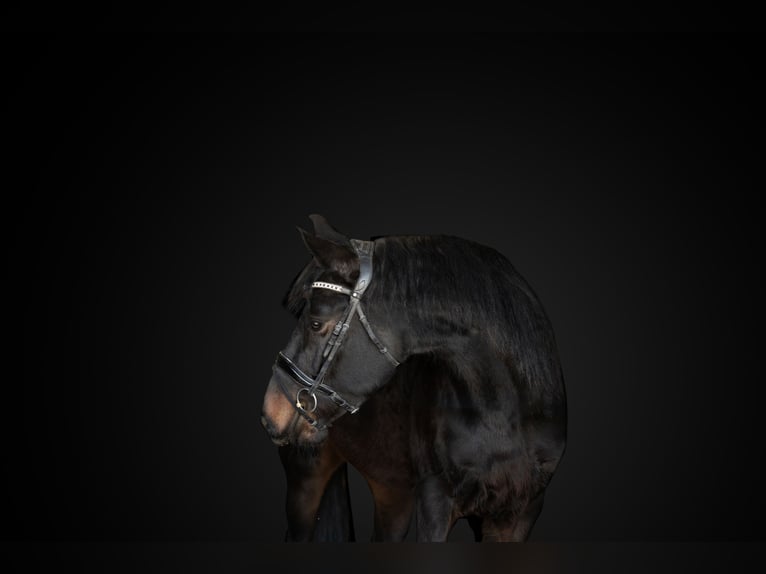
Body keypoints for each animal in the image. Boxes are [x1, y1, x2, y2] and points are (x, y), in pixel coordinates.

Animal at [261, 215, 567, 541]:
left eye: (316, 323)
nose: (270, 411)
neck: (505, 414)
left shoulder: (521, 512)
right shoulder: (435, 502)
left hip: (392, 493)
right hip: (305, 484)